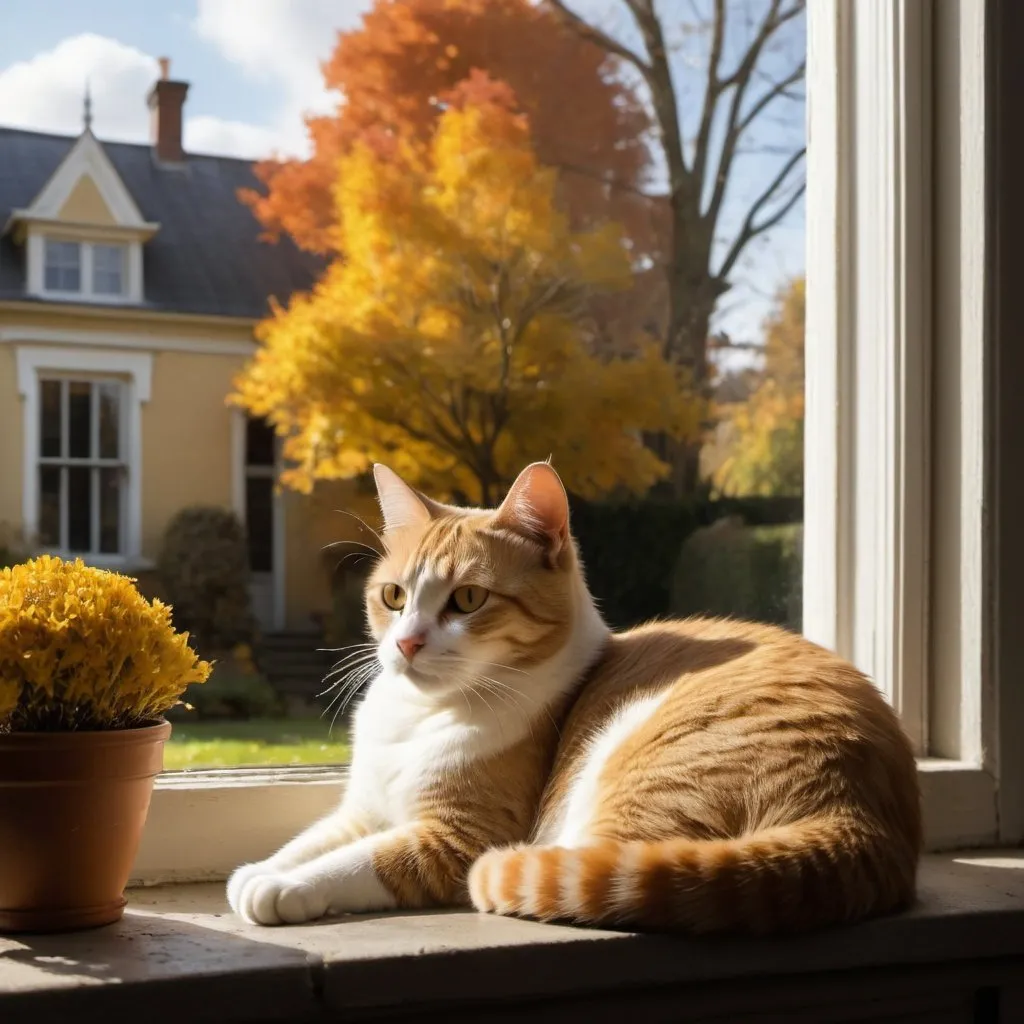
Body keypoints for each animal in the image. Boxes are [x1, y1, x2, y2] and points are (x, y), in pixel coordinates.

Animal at [230, 460, 921, 933]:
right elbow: (312, 841)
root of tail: (861, 820)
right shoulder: (363, 809)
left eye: (468, 599)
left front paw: (282, 888)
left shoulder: (457, 838)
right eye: (394, 596)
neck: (420, 719)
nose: (406, 644)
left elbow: (356, 861)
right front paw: (259, 870)